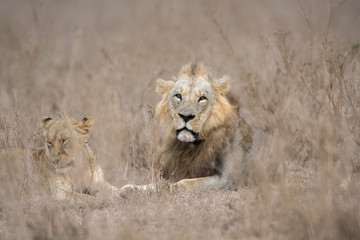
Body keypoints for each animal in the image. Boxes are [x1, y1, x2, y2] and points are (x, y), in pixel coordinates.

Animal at [123, 61, 262, 192]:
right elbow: (158, 183)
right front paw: (128, 189)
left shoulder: (228, 179)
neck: (190, 146)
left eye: (202, 98)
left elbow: (184, 183)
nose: (185, 116)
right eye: (178, 96)